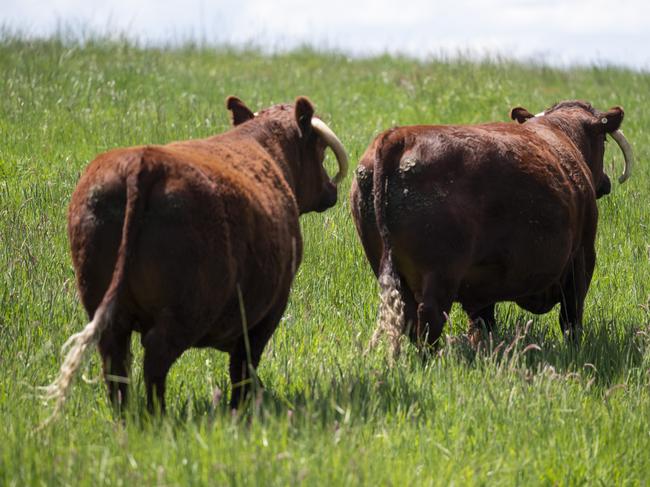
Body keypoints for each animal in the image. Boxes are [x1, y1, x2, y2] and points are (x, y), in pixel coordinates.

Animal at [43, 97, 346, 418]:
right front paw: (241, 407)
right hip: (188, 308)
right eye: (319, 151)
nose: (331, 189)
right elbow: (244, 364)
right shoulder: (270, 309)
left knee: (116, 366)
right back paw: (158, 417)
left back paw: (125, 419)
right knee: (156, 356)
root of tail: (143, 161)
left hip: (105, 309)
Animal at [352, 100, 632, 354]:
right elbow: (571, 318)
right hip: (440, 273)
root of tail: (399, 136)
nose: (606, 182)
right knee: (429, 318)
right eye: (604, 142)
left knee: (409, 317)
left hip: (388, 267)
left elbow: (482, 323)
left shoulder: (482, 282)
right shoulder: (582, 257)